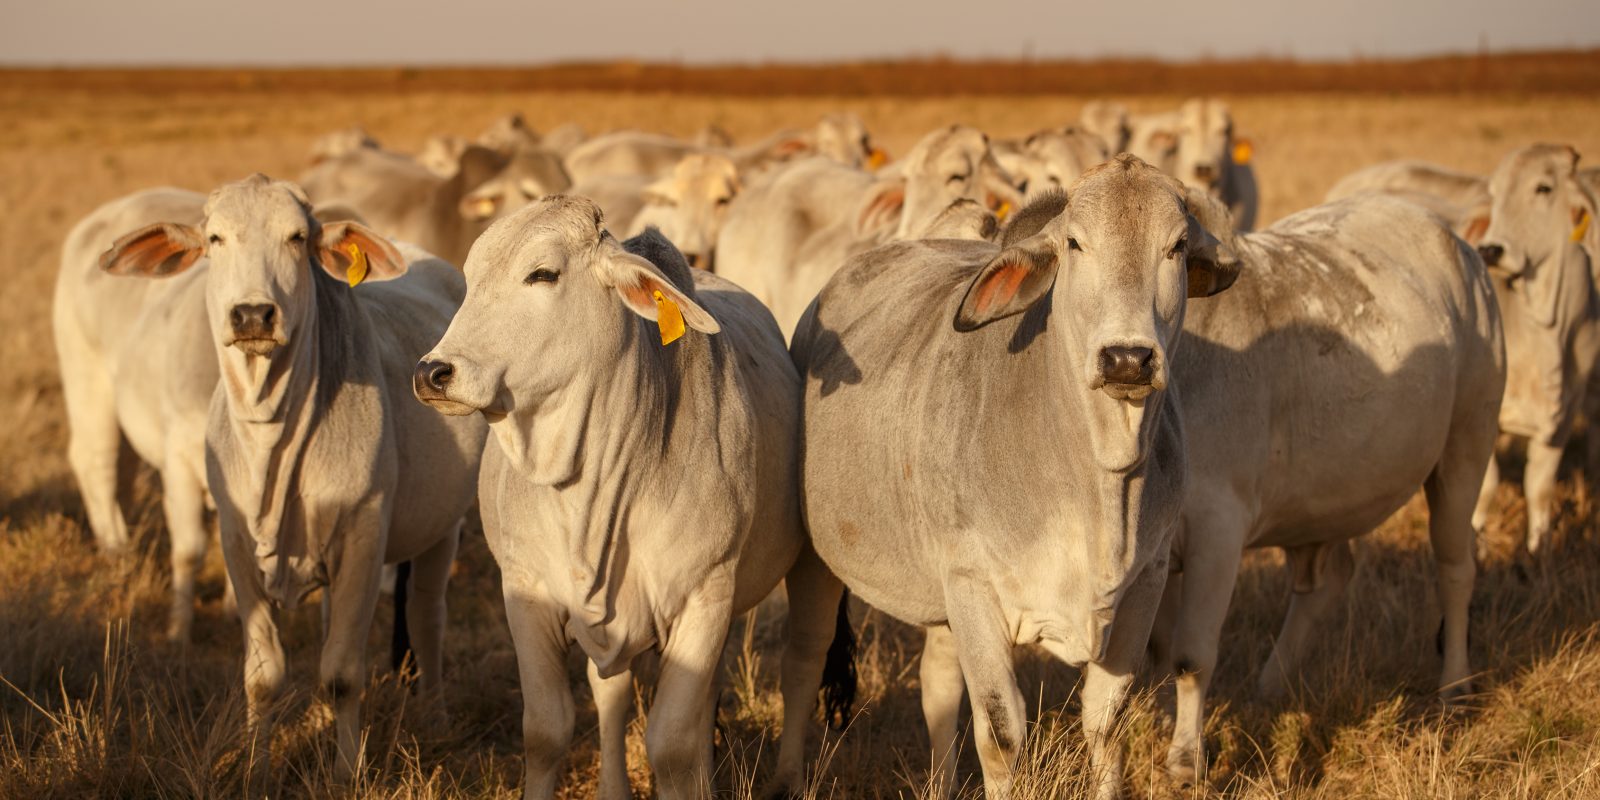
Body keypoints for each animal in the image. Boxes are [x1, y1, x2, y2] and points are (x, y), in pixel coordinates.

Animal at [99, 175, 487, 777]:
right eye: (215, 238)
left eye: (297, 237)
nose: (253, 315)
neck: (272, 442)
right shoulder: (236, 543)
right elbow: (265, 675)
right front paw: (256, 765)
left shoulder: (363, 537)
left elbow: (343, 673)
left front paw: (346, 771)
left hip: (441, 529)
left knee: (426, 619)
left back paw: (437, 716)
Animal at [411, 198, 851, 799]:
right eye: (470, 276)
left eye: (542, 274)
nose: (433, 372)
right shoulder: (526, 592)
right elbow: (546, 731)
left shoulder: (704, 595)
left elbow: (672, 745)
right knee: (617, 694)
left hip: (806, 566)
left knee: (800, 662)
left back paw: (783, 780)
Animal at [792, 155, 1240, 799]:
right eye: (1075, 243)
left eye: (1177, 246)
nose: (1127, 359)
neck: (1097, 482)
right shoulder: (975, 587)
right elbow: (1002, 736)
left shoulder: (1143, 586)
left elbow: (1107, 724)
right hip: (822, 559)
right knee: (806, 661)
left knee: (938, 684)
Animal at [1475, 144, 1600, 553]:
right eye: (1494, 192)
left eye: (1543, 188)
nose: (1490, 250)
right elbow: (1485, 489)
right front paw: (1478, 545)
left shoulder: (1563, 417)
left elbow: (1539, 489)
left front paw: (1537, 549)